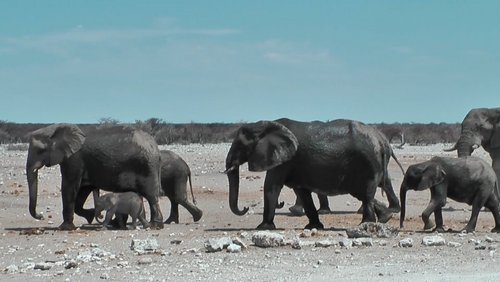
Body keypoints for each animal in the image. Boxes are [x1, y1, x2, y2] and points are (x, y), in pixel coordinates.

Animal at [26, 124, 163, 230]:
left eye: (40, 150)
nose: (41, 216)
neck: (56, 128)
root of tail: (155, 146)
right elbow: (82, 190)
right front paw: (91, 216)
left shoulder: (74, 159)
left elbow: (69, 187)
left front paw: (64, 228)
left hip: (146, 167)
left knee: (151, 197)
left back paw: (155, 226)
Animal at [226, 118, 394, 230]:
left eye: (240, 146)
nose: (245, 208)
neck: (263, 126)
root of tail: (381, 140)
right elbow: (302, 192)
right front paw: (314, 227)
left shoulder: (284, 160)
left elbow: (271, 187)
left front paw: (263, 228)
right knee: (363, 194)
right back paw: (385, 218)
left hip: (368, 162)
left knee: (366, 193)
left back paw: (366, 224)